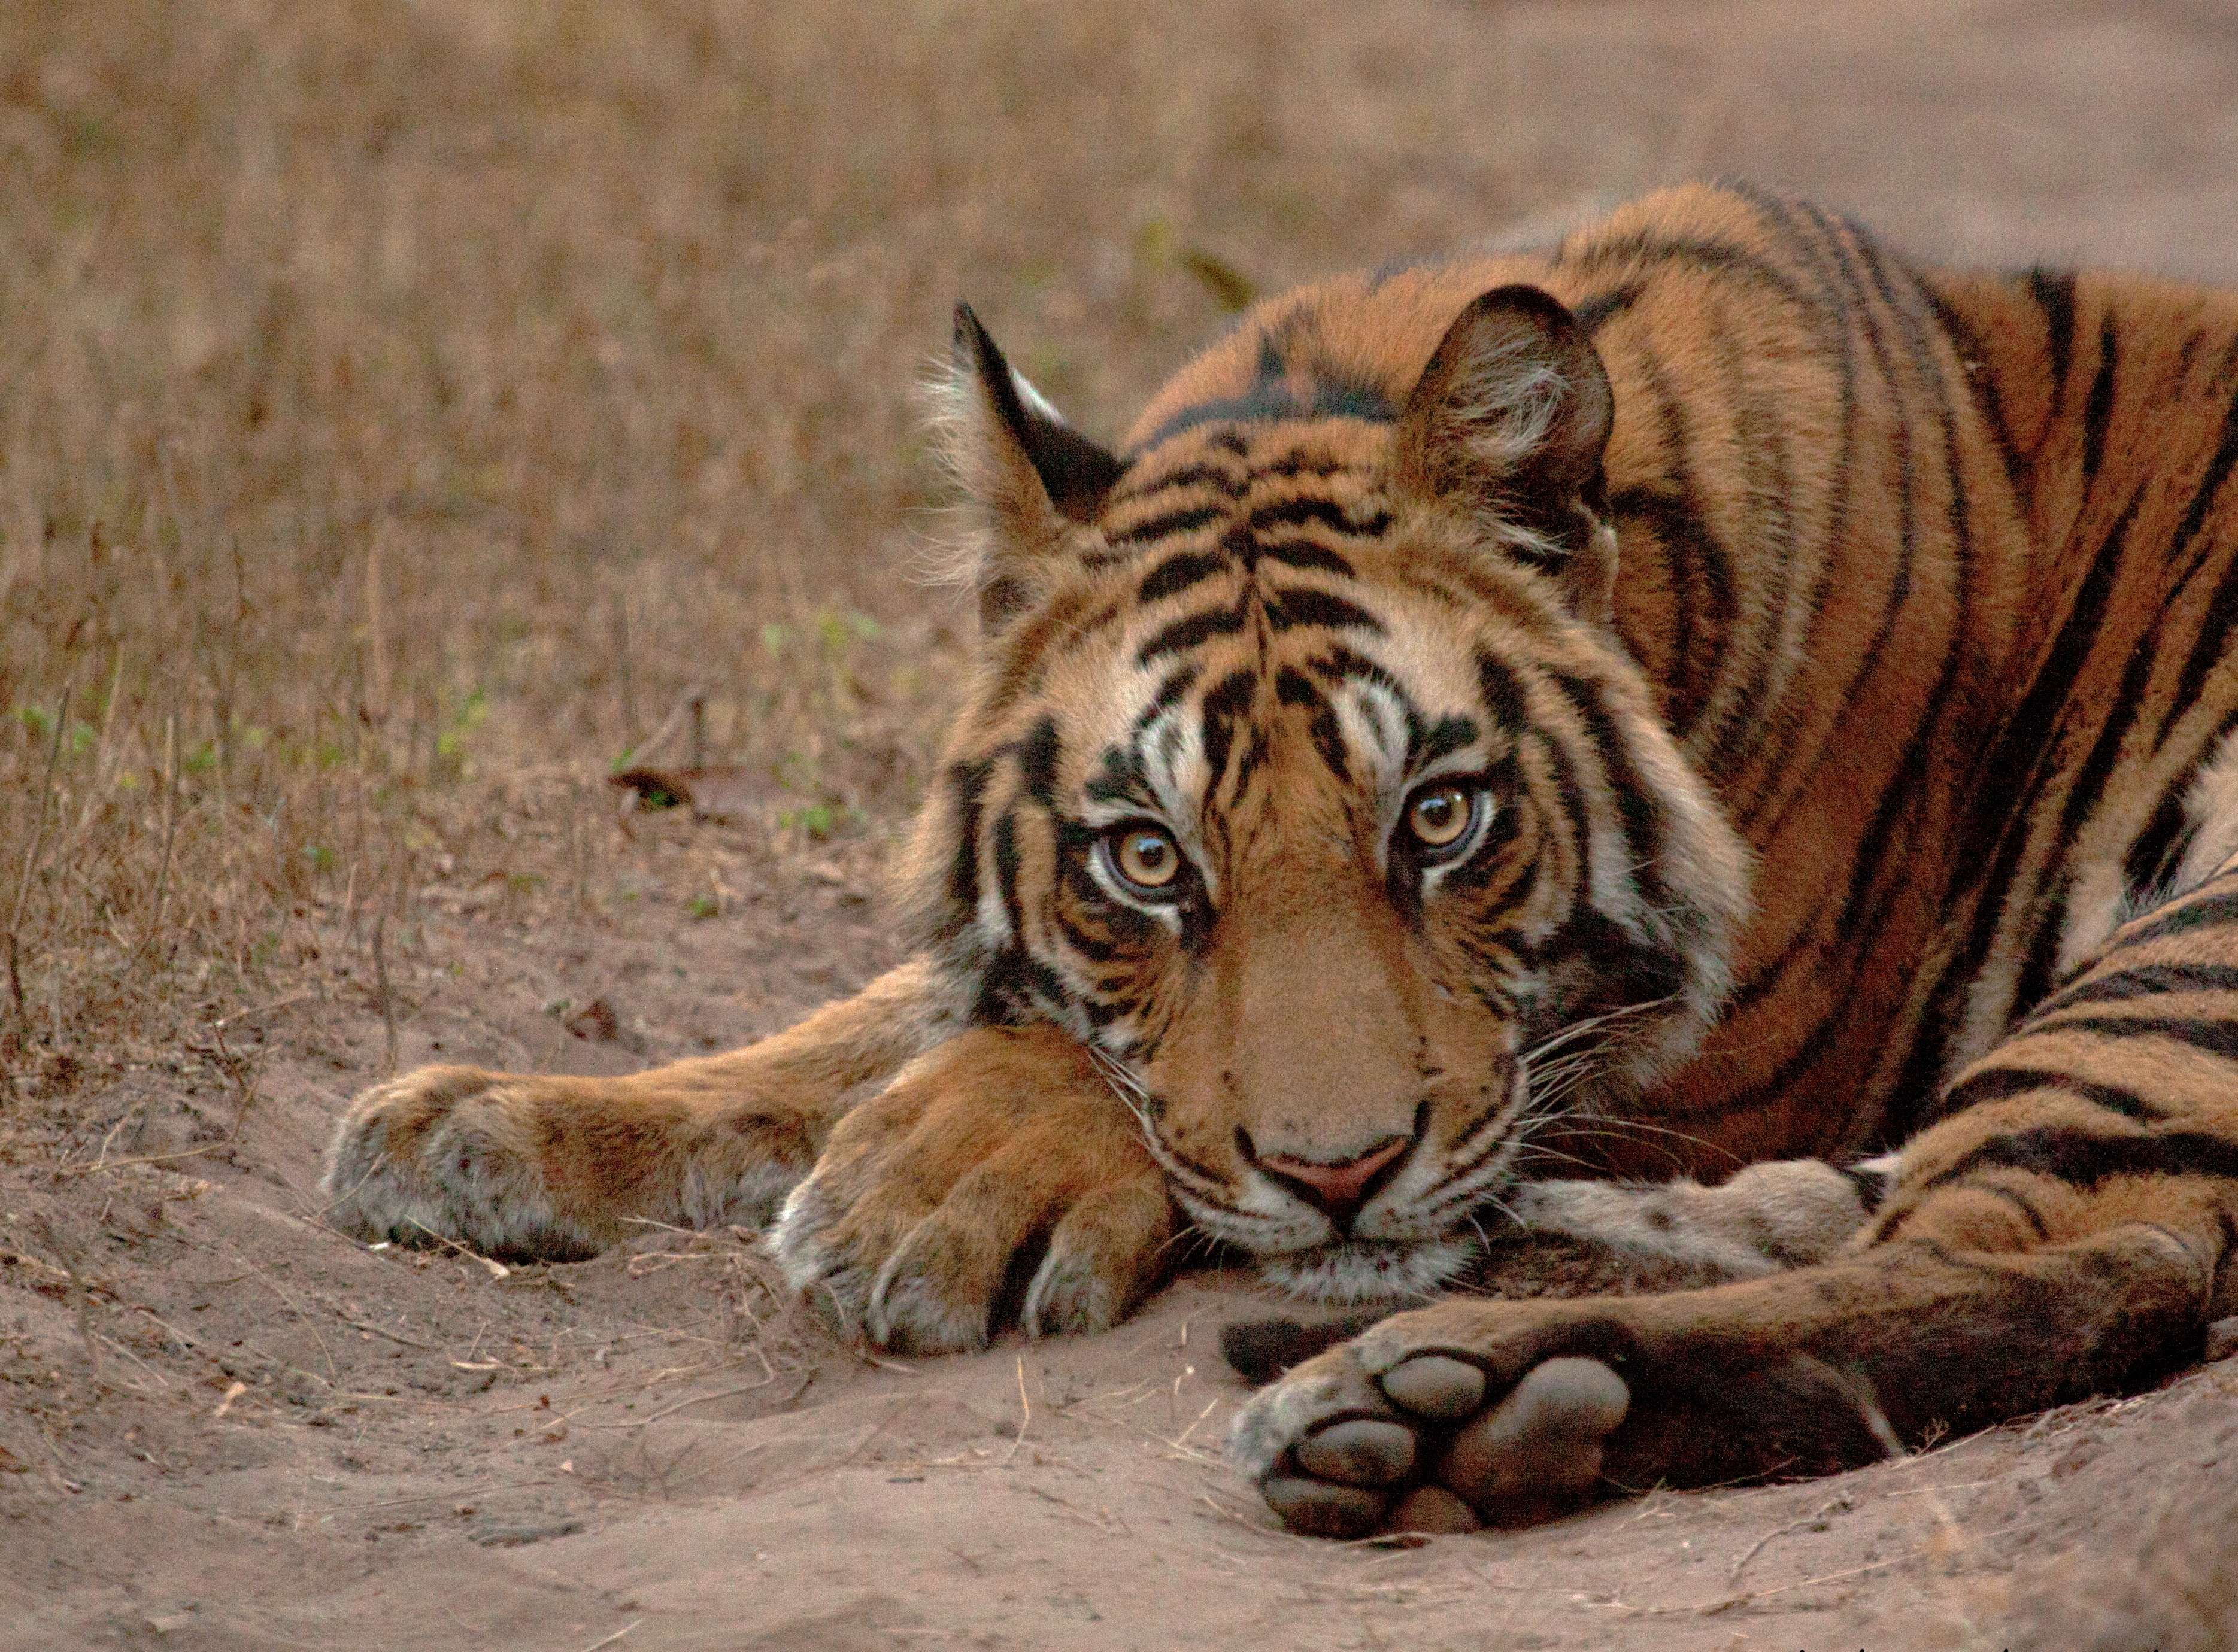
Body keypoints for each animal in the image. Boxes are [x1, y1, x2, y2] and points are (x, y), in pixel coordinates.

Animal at [320, 180, 2238, 1531]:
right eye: (1148, 860)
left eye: (1442, 818)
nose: (1344, 1182)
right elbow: (866, 1022)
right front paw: (481, 1121)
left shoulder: (1713, 1052)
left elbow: (1060, 1072)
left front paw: (929, 1190)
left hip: (2189, 936)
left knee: (2083, 1263)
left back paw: (1451, 1398)